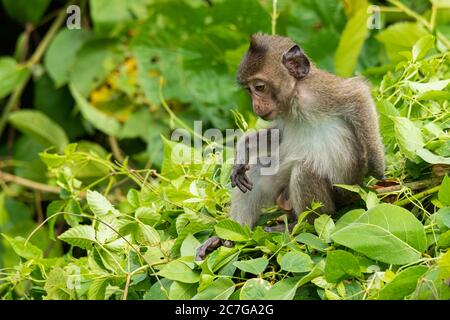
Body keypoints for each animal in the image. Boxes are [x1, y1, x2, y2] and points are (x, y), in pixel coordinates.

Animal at [195, 34, 384, 260]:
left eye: (259, 87)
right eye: (249, 90)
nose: (256, 107)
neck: (294, 98)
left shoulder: (320, 92)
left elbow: (358, 94)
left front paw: (377, 167)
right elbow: (278, 135)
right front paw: (243, 151)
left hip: (338, 196)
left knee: (305, 172)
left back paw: (304, 225)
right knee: (257, 172)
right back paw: (231, 237)